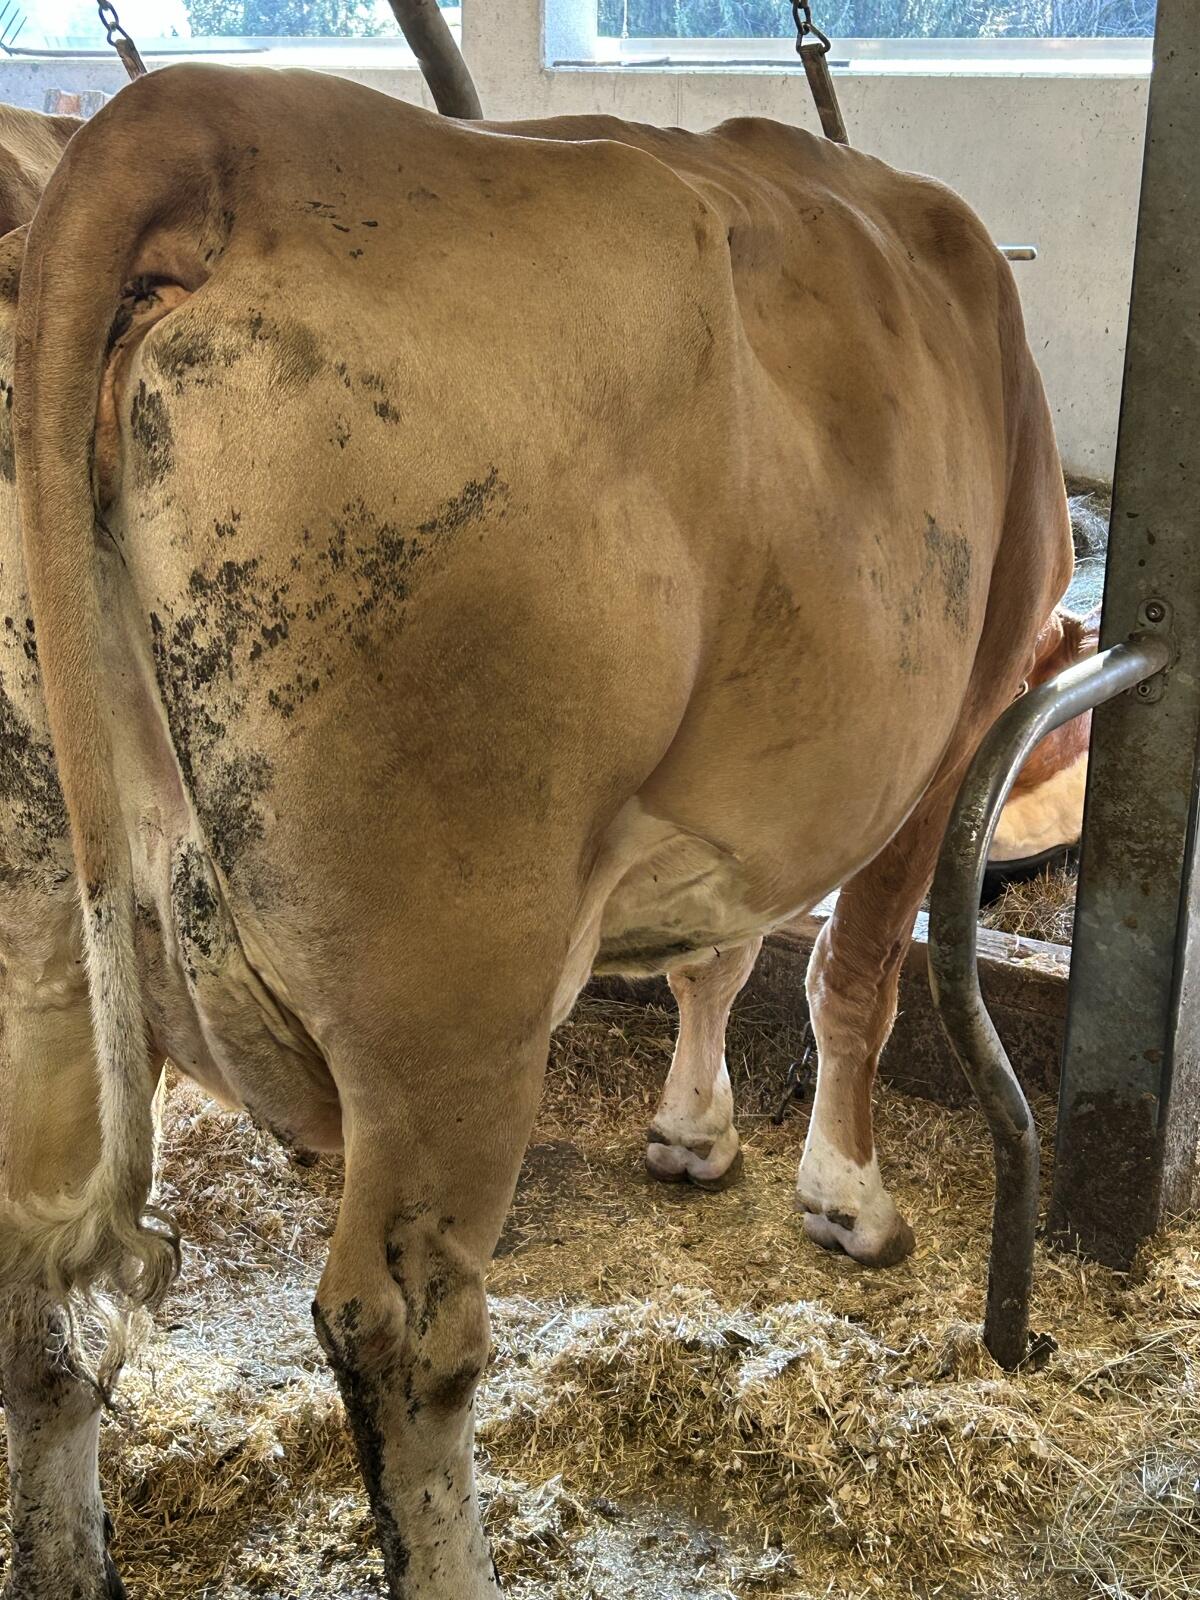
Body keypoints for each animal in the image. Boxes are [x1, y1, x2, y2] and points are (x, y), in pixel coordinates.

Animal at [2, 65, 1073, 1598]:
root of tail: (207, 114)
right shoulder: (964, 707)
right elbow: (851, 970)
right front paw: (847, 1200)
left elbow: (717, 952)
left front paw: (692, 1131)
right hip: (449, 977)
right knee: (402, 1329)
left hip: (39, 926)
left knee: (35, 1268)